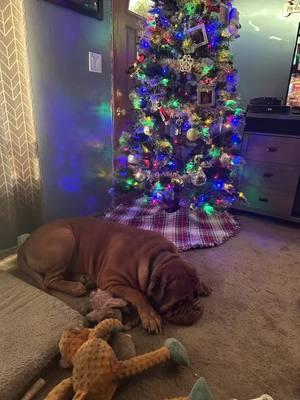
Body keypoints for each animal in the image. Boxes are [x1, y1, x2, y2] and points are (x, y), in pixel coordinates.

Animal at [18, 217, 211, 332]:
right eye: (179, 302)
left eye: (195, 296)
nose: (198, 308)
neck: (158, 259)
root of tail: (25, 242)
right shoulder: (112, 282)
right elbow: (138, 294)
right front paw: (150, 316)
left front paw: (202, 284)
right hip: (65, 238)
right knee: (50, 280)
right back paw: (75, 287)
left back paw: (84, 279)